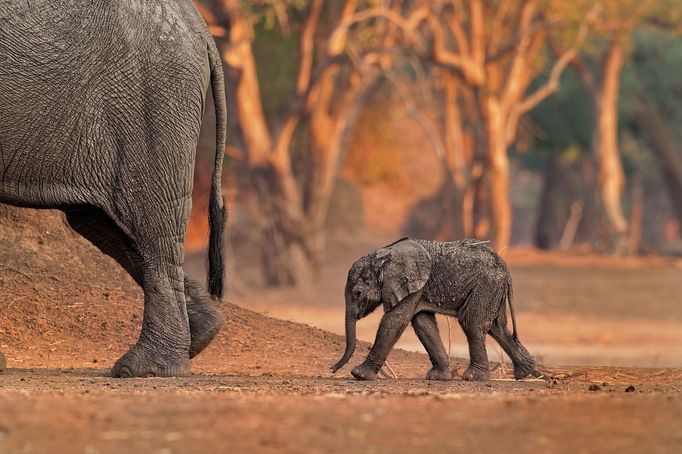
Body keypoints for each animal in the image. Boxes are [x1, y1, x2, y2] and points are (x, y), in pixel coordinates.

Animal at [0, 0, 228, 376]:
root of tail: (200, 25)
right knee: (108, 226)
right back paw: (203, 335)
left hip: (153, 101)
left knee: (149, 221)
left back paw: (146, 368)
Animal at [330, 239, 536, 382]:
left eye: (357, 293)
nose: (332, 369)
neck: (386, 255)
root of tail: (505, 269)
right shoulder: (417, 288)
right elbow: (423, 323)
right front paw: (438, 377)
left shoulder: (413, 284)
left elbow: (395, 320)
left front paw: (359, 375)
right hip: (493, 290)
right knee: (497, 327)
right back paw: (524, 373)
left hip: (486, 286)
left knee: (472, 324)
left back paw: (473, 377)